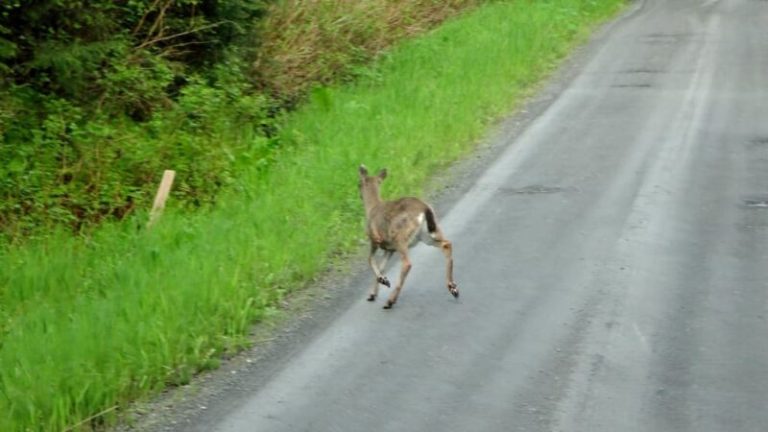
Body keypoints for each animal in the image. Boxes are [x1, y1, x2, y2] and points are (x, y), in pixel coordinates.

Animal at [358, 164, 460, 308]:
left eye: (358, 184)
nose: (359, 195)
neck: (372, 208)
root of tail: (425, 208)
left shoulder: (375, 239)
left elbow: (370, 260)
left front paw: (383, 281)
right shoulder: (389, 249)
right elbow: (382, 267)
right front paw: (373, 293)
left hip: (400, 236)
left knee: (407, 263)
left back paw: (390, 301)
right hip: (428, 234)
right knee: (446, 244)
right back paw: (453, 288)